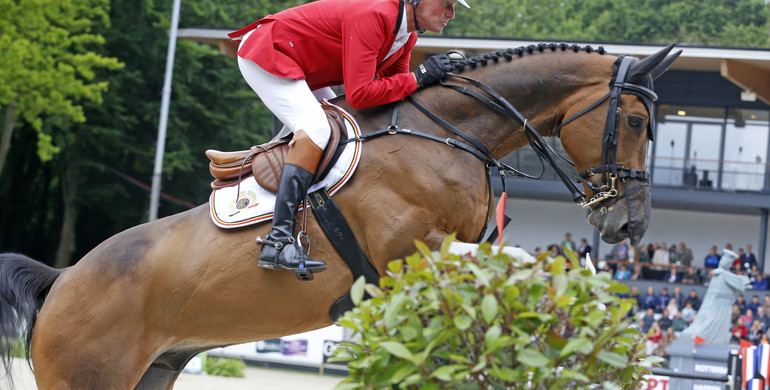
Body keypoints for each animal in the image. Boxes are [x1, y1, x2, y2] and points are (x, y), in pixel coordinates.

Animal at [1, 43, 680, 390]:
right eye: (637, 123)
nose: (629, 227)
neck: (452, 134)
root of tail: (61, 281)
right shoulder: (412, 249)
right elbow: (516, 257)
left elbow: (508, 262)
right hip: (92, 378)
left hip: (153, 372)